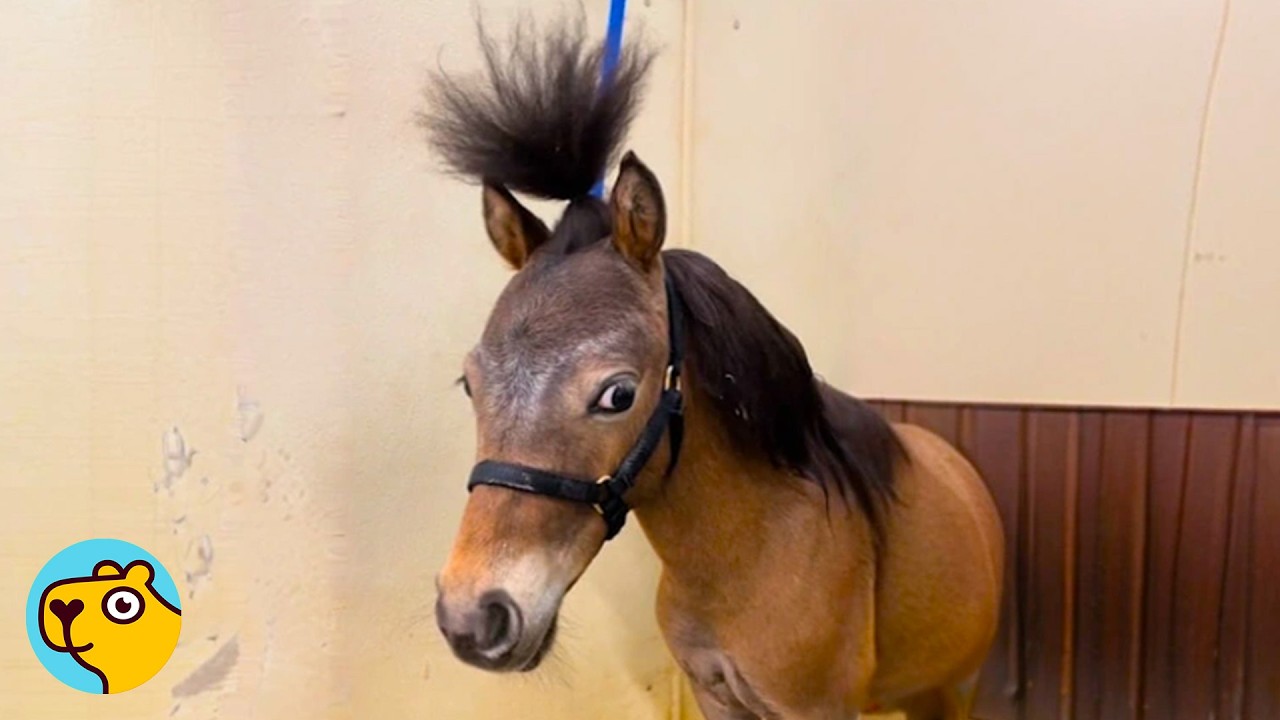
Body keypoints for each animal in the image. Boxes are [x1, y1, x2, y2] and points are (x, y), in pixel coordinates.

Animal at [420, 16, 1004, 720]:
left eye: (618, 395)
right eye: (470, 385)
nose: (472, 617)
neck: (753, 551)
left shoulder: (817, 708)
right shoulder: (716, 696)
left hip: (952, 688)